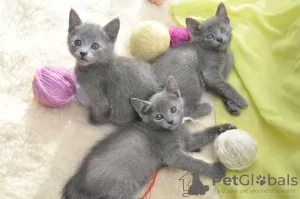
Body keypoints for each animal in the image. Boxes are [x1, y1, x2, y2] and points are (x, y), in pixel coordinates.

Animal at [62, 76, 236, 199]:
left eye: (173, 109)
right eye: (159, 116)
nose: (170, 121)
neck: (174, 132)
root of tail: (77, 180)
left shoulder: (188, 140)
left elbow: (205, 134)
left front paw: (225, 128)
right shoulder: (173, 155)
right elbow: (194, 162)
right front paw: (216, 169)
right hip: (120, 187)